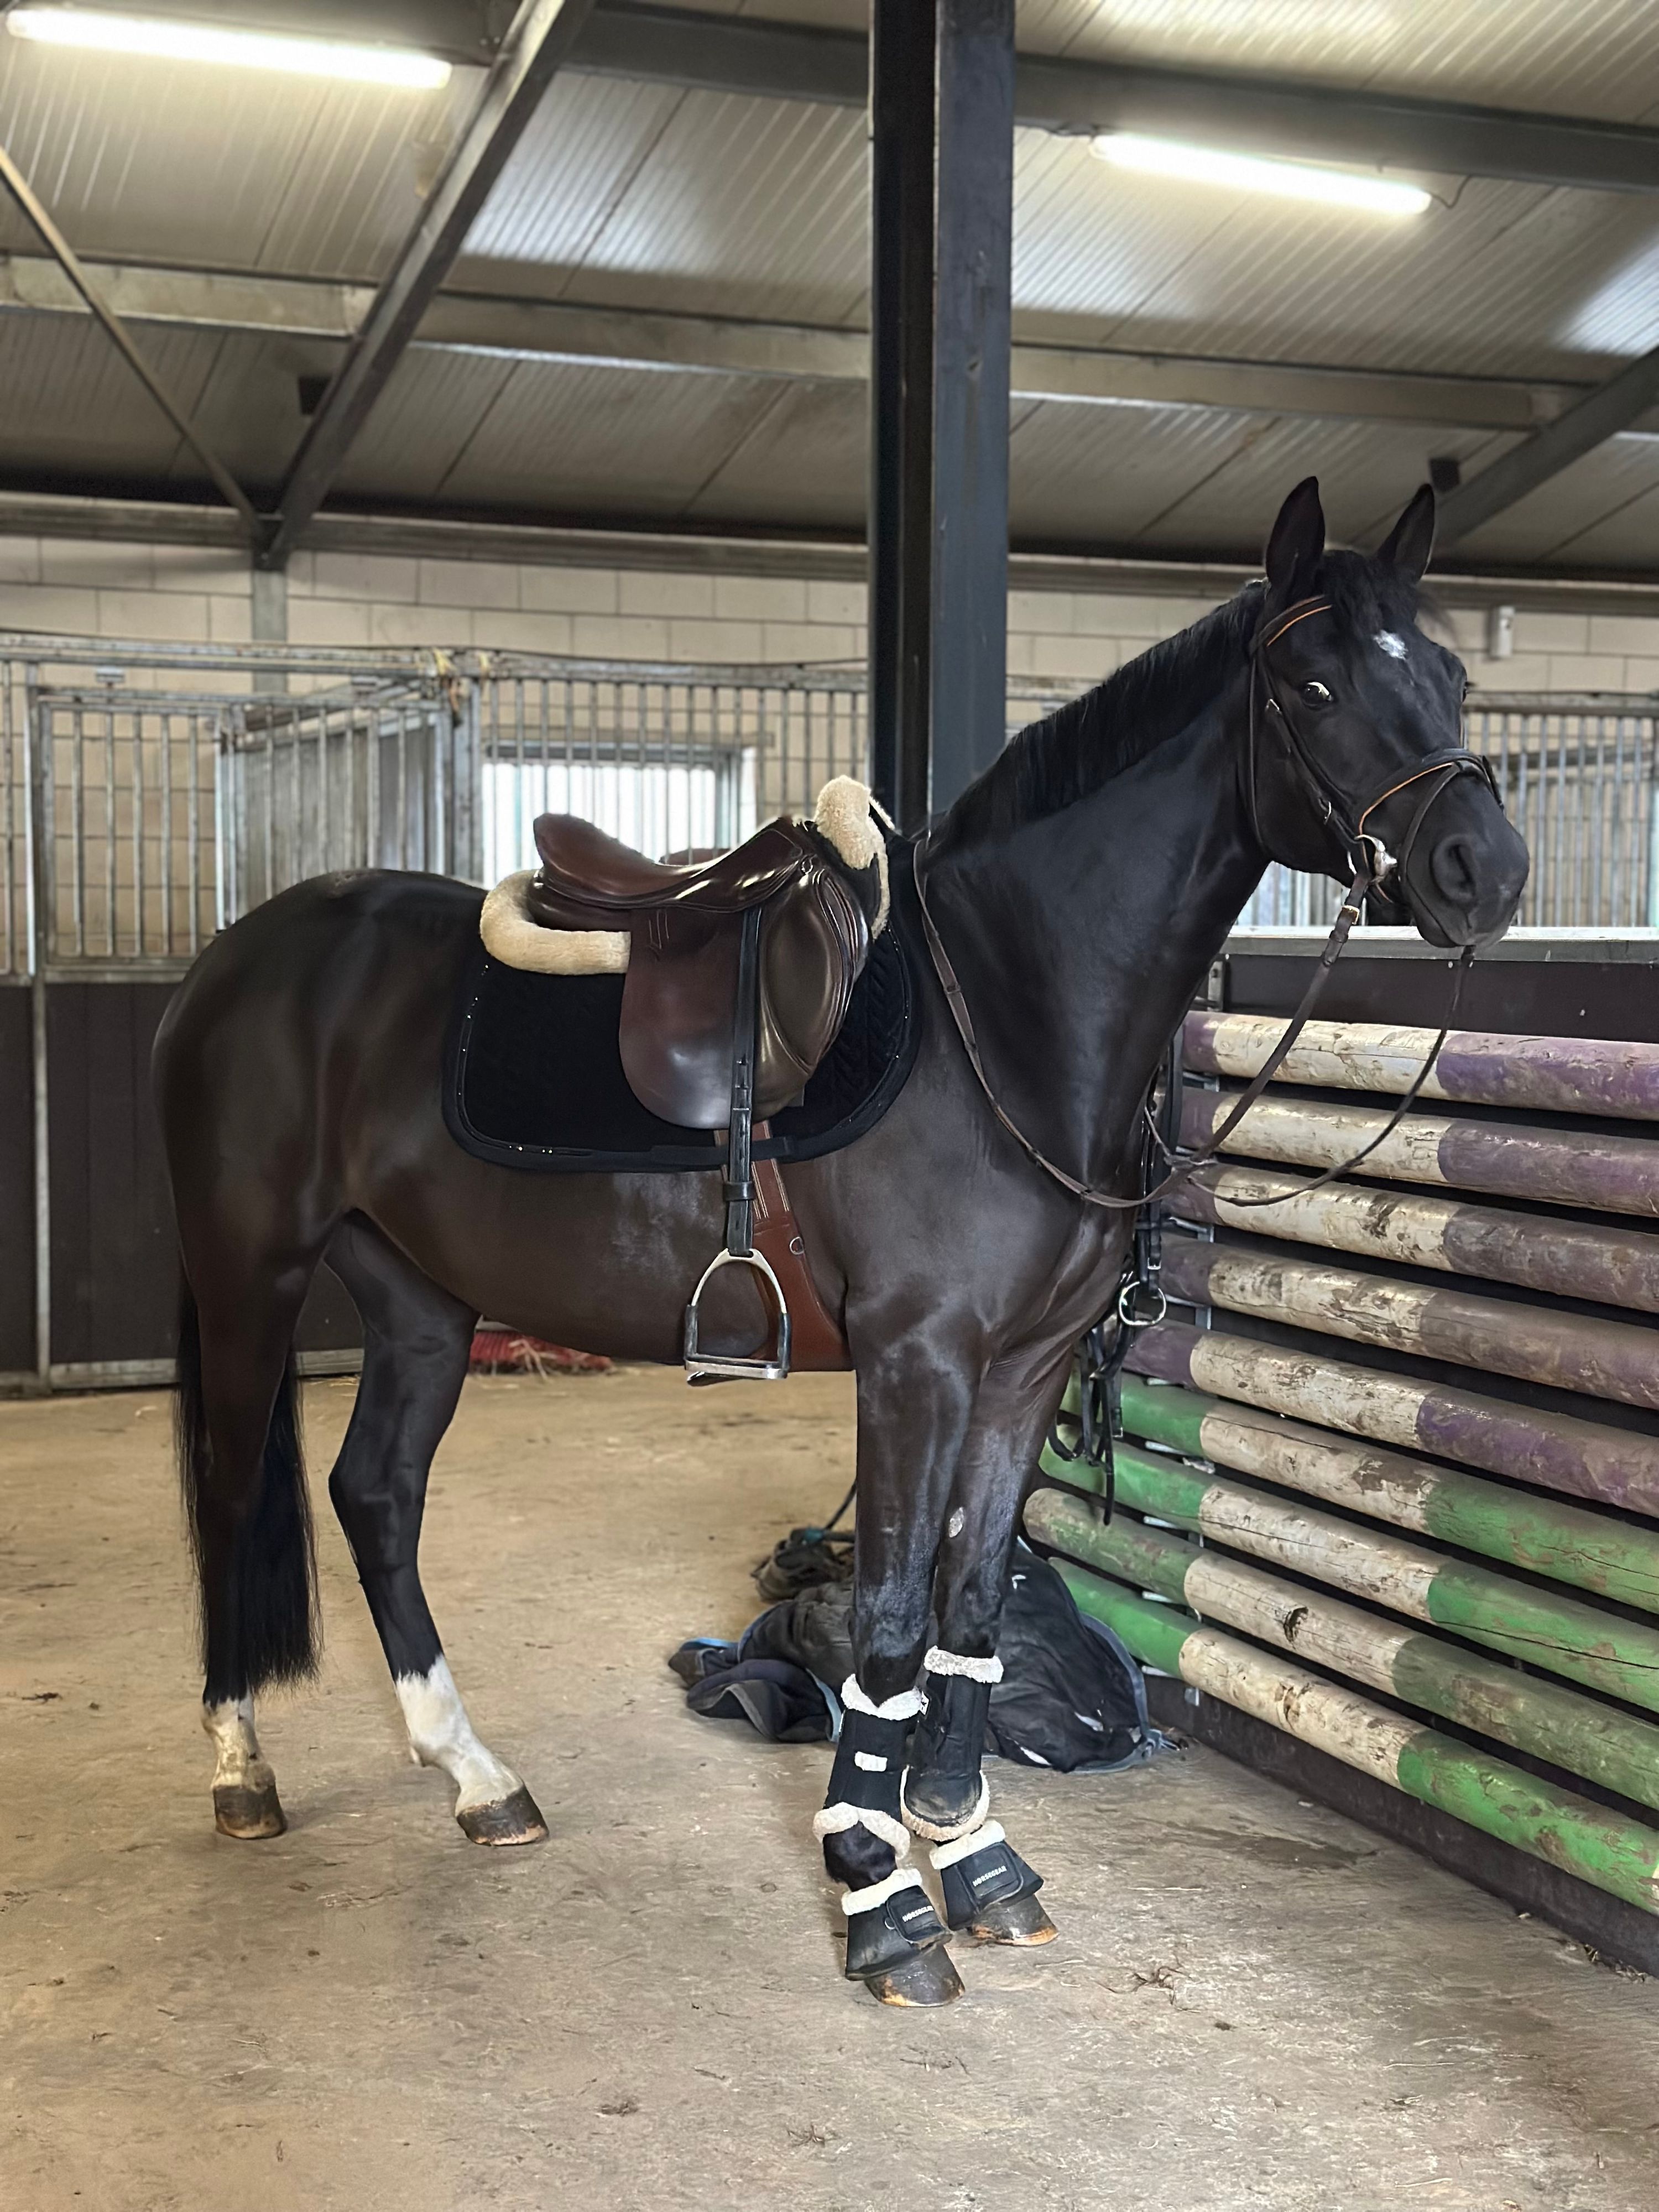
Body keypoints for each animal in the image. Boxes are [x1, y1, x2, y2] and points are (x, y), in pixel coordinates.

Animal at [154, 477, 1529, 2005]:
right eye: (1312, 683)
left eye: (1451, 674)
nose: (1482, 872)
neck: (1001, 1015)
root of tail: (238, 958)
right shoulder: (915, 1362)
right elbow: (885, 1621)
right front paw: (881, 1896)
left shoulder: (1023, 1368)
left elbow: (970, 1608)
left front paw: (975, 1857)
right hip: (252, 1274)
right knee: (229, 1492)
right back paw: (241, 1769)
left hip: (418, 1300)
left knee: (377, 1497)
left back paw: (477, 1779)